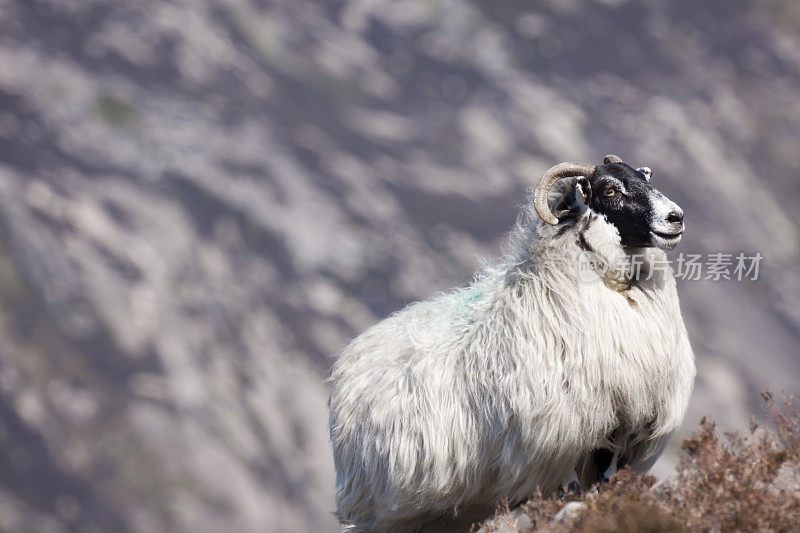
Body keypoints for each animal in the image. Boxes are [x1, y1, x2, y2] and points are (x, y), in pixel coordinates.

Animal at [328, 154, 696, 528]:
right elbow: (571, 494)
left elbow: (605, 492)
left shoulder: (619, 432)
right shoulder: (560, 437)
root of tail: (352, 355)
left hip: (441, 514)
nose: (676, 217)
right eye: (609, 189)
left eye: (644, 176)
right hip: (376, 511)